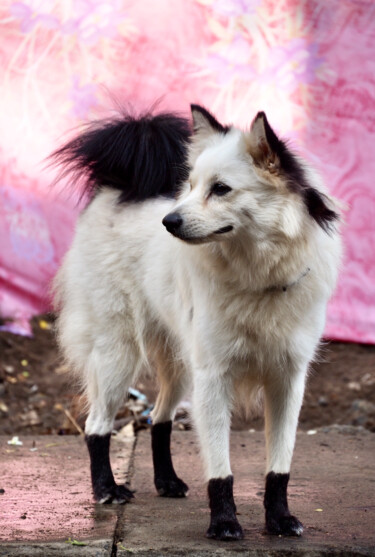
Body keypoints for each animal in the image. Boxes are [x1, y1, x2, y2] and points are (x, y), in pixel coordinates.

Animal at [53, 104, 344, 540]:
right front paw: (223, 523)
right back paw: (107, 490)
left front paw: (279, 519)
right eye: (189, 186)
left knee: (159, 418)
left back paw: (166, 482)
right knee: (96, 425)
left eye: (221, 189)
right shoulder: (214, 376)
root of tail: (118, 188)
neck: (257, 276)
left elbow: (280, 464)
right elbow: (220, 468)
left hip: (179, 364)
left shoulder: (288, 379)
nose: (168, 222)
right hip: (116, 355)